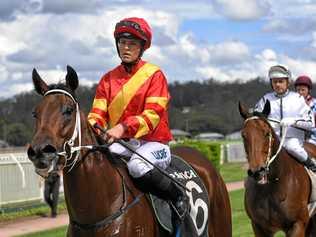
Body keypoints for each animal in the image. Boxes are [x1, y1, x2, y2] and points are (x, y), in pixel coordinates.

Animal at [238, 101, 316, 236]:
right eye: (243, 135)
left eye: (266, 133)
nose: (257, 171)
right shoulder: (259, 227)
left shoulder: (297, 224)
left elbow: (309, 120)